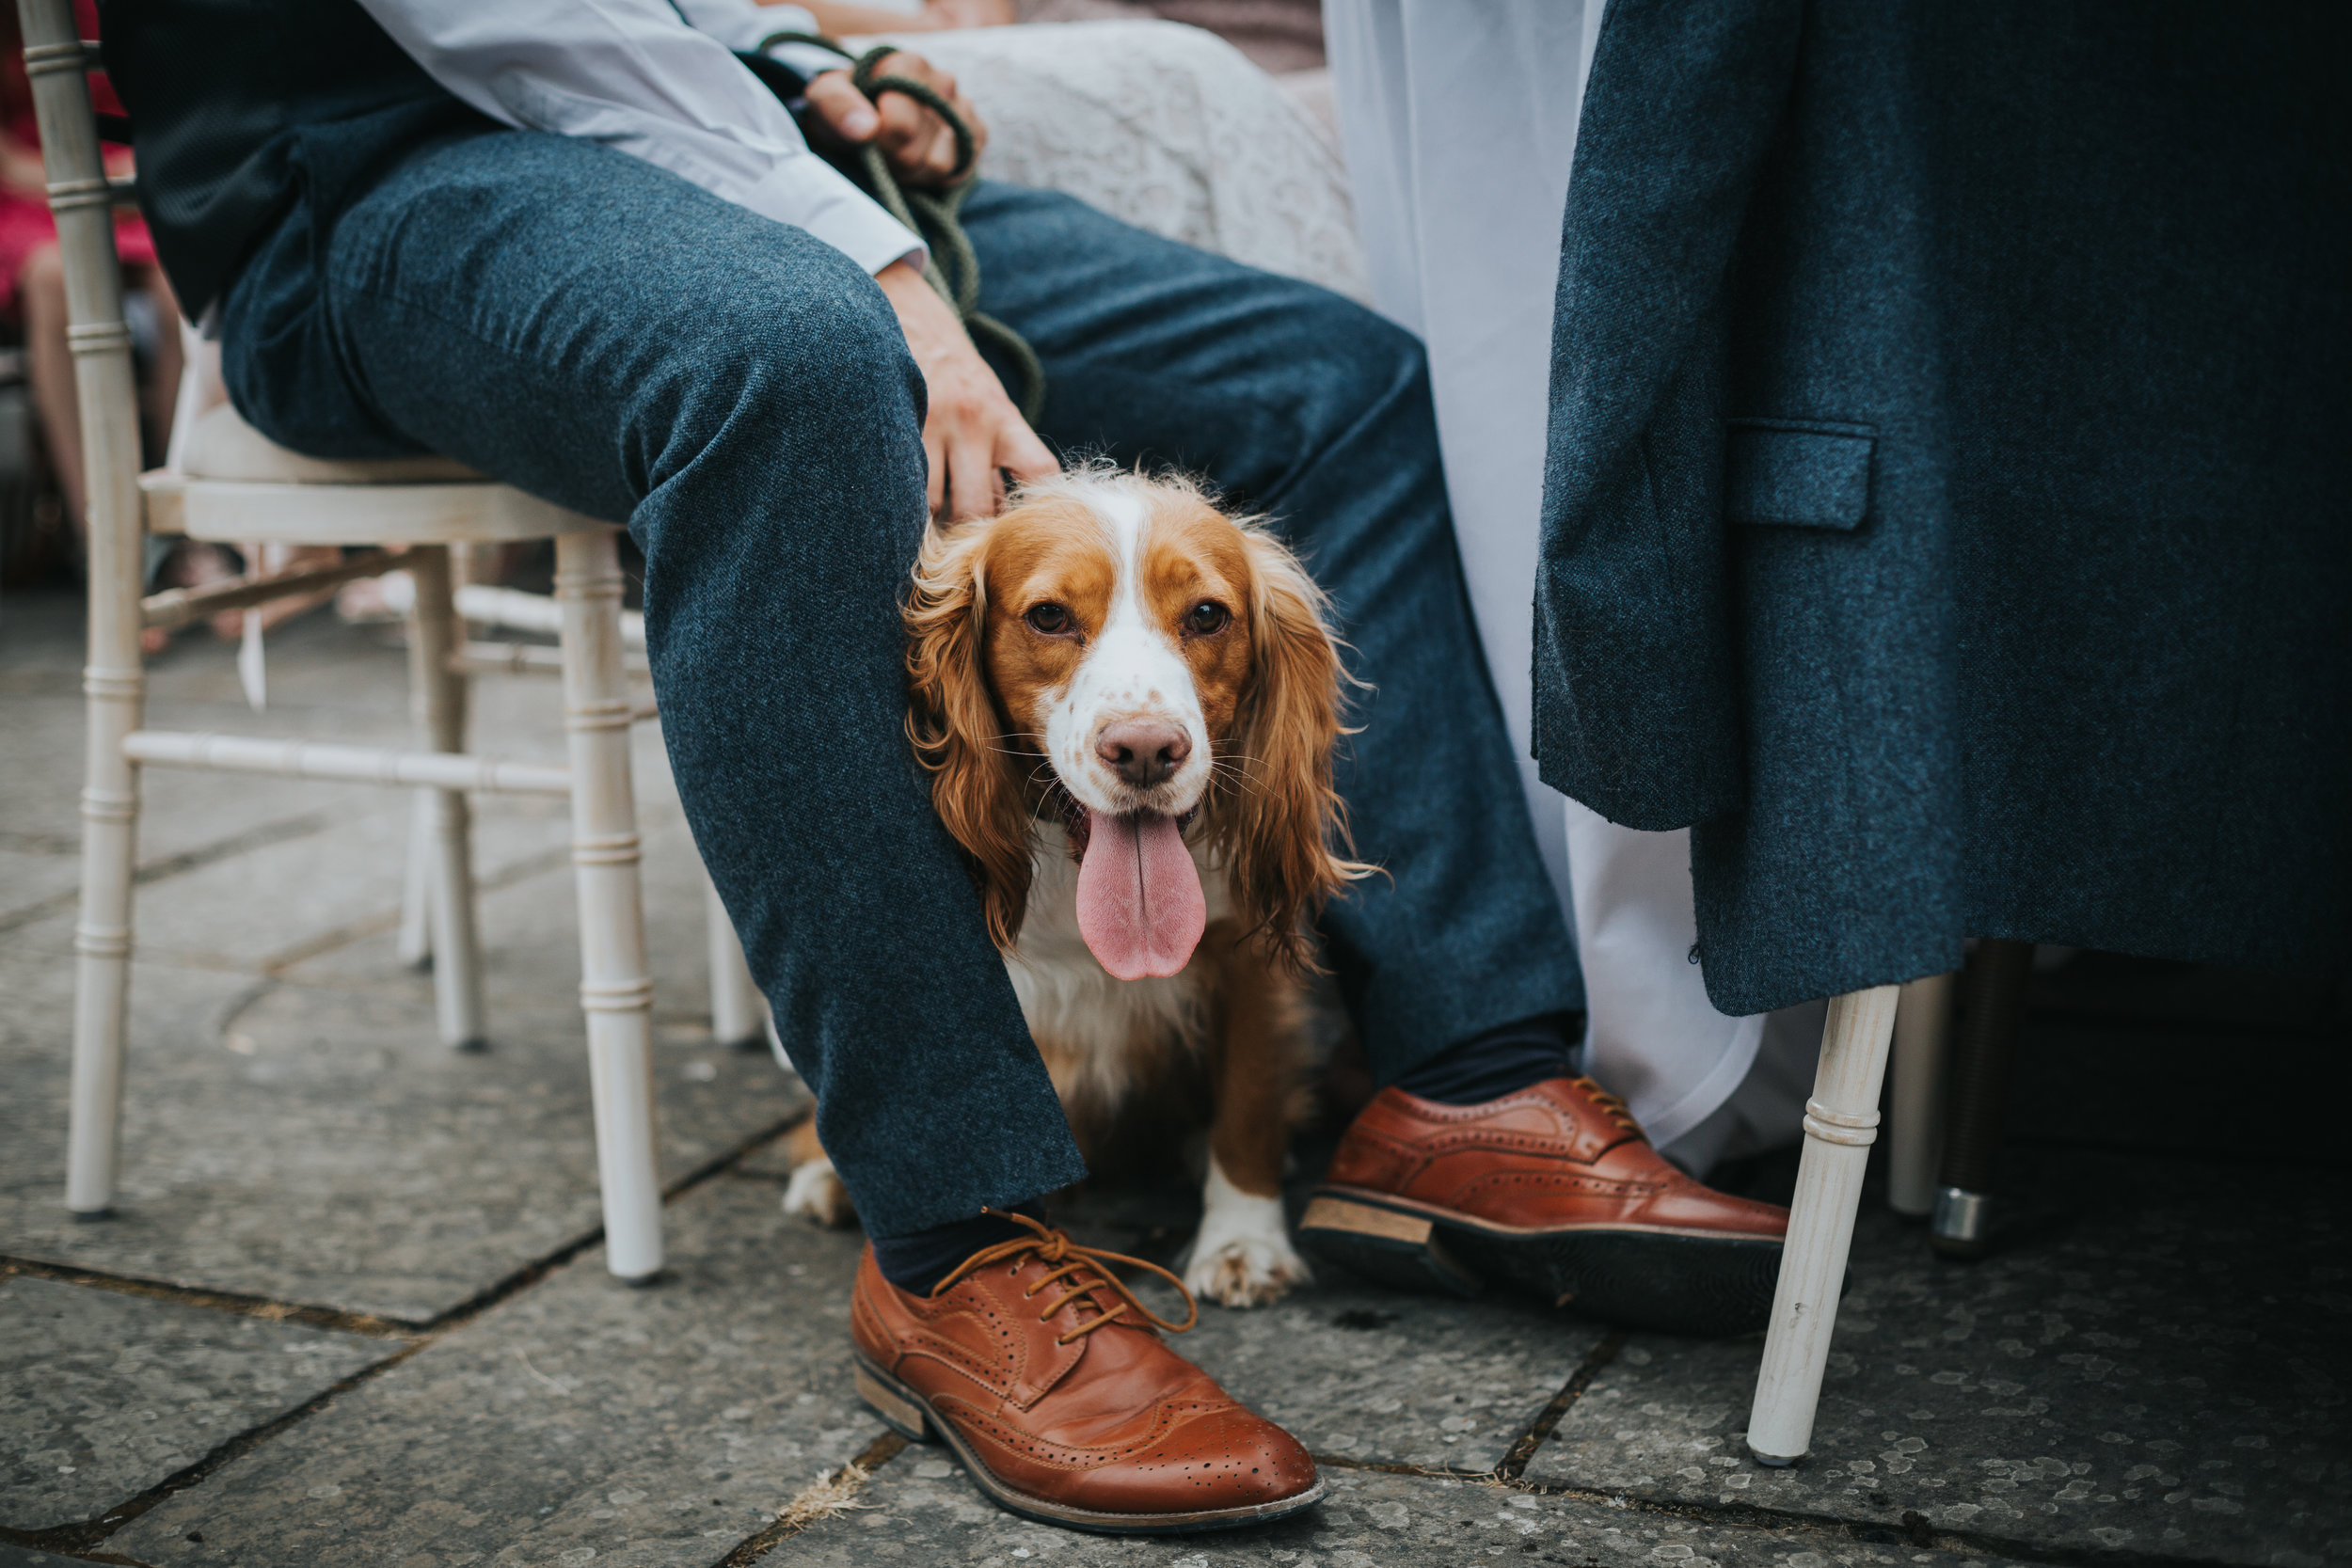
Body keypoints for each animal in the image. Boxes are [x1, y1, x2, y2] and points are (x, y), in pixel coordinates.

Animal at [781, 465, 1364, 1316]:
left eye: (1208, 615)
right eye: (1050, 616)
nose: (1147, 750)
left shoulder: (1247, 954)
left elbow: (1249, 1101)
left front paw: (1242, 1242)